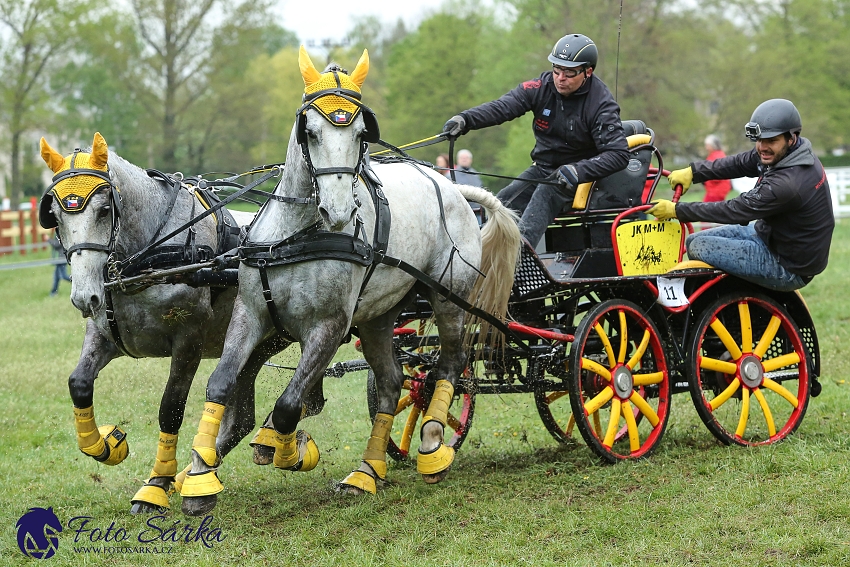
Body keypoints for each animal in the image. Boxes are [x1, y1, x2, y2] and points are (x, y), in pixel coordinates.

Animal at [38, 136, 320, 516]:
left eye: (103, 210)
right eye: (54, 215)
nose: (84, 297)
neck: (150, 255)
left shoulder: (189, 340)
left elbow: (170, 409)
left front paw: (156, 485)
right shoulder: (104, 334)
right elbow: (79, 384)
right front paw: (106, 446)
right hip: (257, 343)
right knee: (242, 418)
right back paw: (198, 473)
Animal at [182, 46, 520, 516]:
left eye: (361, 133)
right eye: (310, 132)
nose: (340, 212)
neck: (295, 235)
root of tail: (452, 187)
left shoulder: (329, 326)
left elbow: (289, 405)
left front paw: (288, 449)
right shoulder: (251, 314)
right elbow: (220, 384)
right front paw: (198, 478)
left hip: (449, 298)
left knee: (449, 365)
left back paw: (433, 443)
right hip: (380, 315)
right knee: (392, 383)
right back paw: (366, 472)